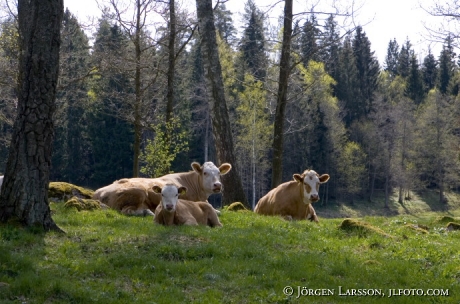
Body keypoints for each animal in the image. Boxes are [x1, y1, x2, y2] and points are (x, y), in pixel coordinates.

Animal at [92, 162, 232, 216]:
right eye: (205, 173)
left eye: (219, 173)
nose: (217, 185)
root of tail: (96, 193)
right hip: (138, 192)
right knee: (127, 211)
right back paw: (147, 212)